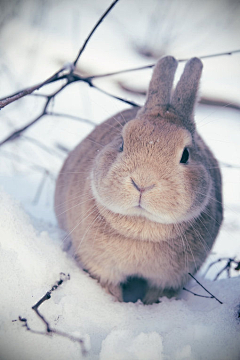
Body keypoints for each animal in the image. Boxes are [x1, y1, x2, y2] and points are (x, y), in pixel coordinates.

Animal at [54, 56, 223, 304]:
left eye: (186, 155)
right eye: (122, 143)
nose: (143, 183)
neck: (142, 227)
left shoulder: (168, 282)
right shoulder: (101, 268)